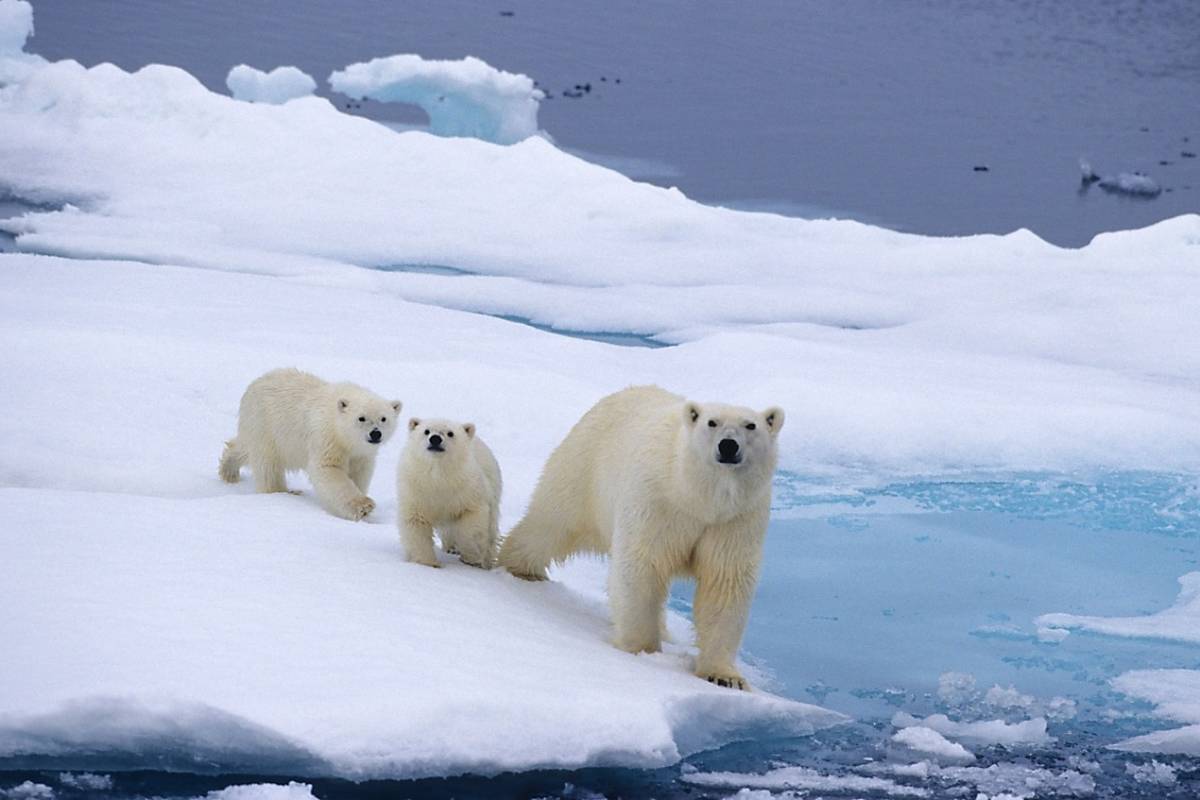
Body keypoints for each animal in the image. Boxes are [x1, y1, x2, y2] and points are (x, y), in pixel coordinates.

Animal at [219, 368, 401, 520]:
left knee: (245, 448)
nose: (375, 434)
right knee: (267, 465)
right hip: (265, 424)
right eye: (361, 418)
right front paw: (363, 506)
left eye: (384, 418)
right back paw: (280, 492)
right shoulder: (326, 437)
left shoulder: (361, 453)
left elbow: (359, 472)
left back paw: (229, 471)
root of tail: (254, 384)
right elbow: (328, 469)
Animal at [397, 418, 502, 569]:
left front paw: (471, 558)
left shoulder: (468, 489)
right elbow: (416, 522)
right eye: (426, 431)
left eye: (450, 433)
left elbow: (471, 521)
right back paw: (451, 548)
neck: (439, 476)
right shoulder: (416, 491)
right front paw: (428, 563)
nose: (435, 439)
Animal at [498, 385, 784, 690]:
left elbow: (724, 581)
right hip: (584, 468)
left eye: (751, 425)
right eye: (712, 422)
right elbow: (642, 565)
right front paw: (642, 651)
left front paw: (724, 676)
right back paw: (521, 568)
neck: (697, 496)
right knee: (550, 523)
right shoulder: (658, 501)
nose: (728, 446)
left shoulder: (736, 519)